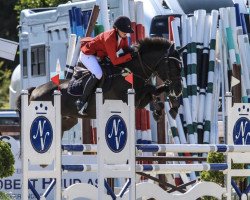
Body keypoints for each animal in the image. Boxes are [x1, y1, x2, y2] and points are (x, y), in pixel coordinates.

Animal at [16, 37, 184, 133]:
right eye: (173, 65)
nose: (179, 89)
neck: (132, 70)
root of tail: (35, 90)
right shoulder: (131, 99)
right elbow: (151, 90)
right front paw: (165, 107)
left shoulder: (140, 99)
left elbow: (156, 91)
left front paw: (168, 108)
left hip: (68, 119)